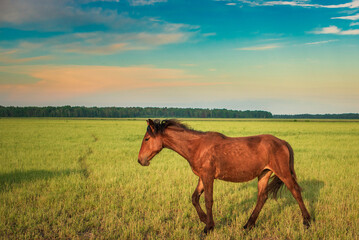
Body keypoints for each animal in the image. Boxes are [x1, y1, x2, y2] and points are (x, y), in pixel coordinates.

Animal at [138, 119, 312, 233]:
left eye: (147, 139)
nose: (140, 160)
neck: (197, 147)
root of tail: (283, 142)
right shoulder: (202, 177)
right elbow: (194, 198)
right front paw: (205, 220)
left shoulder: (208, 177)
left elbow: (208, 201)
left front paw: (208, 227)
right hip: (264, 174)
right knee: (262, 197)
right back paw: (248, 225)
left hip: (283, 173)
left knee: (296, 192)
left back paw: (307, 222)